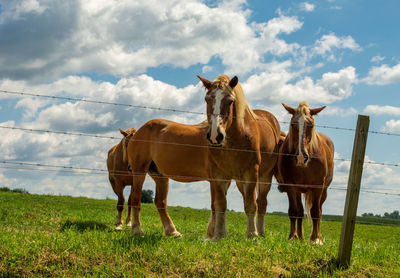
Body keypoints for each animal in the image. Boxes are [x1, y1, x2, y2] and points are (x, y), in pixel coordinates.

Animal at [126, 75, 282, 240]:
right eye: (207, 99)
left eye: (230, 101)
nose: (215, 136)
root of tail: (139, 131)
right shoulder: (218, 176)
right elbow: (220, 204)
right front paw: (218, 235)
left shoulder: (246, 175)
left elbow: (243, 204)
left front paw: (246, 234)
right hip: (139, 171)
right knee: (136, 198)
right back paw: (137, 230)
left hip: (160, 175)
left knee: (160, 202)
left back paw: (172, 231)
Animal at [276, 102, 334, 245]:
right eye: (293, 124)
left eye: (311, 125)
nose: (301, 157)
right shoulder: (291, 187)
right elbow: (294, 211)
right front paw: (293, 237)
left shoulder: (318, 187)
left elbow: (315, 212)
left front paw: (316, 239)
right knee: (300, 211)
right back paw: (300, 237)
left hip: (323, 191)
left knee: (319, 211)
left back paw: (316, 236)